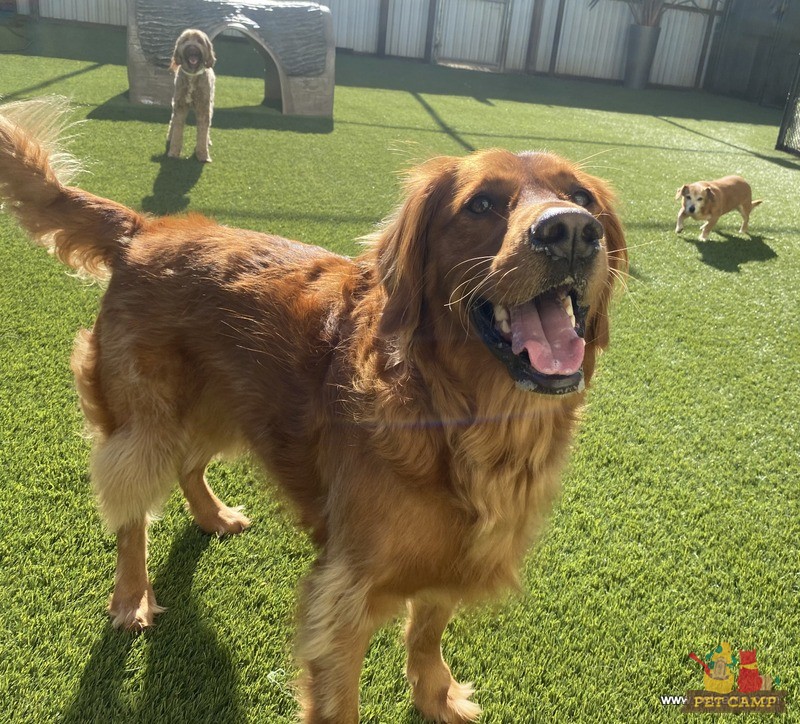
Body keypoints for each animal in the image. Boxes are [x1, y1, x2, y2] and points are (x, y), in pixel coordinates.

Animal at [0, 97, 624, 724]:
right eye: (482, 204)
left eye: (583, 197)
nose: (571, 231)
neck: (462, 419)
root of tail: (147, 228)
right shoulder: (344, 595)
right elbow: (341, 697)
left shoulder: (449, 559)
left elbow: (426, 633)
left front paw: (436, 695)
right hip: (144, 422)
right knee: (132, 514)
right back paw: (132, 598)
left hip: (224, 404)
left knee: (189, 464)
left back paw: (212, 516)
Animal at [167, 28, 216, 163]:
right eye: (185, 40)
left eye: (199, 41)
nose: (192, 48)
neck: (192, 75)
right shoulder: (180, 106)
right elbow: (177, 128)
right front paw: (173, 152)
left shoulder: (204, 108)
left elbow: (203, 131)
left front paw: (203, 155)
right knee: (172, 120)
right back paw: (170, 136)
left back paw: (208, 141)